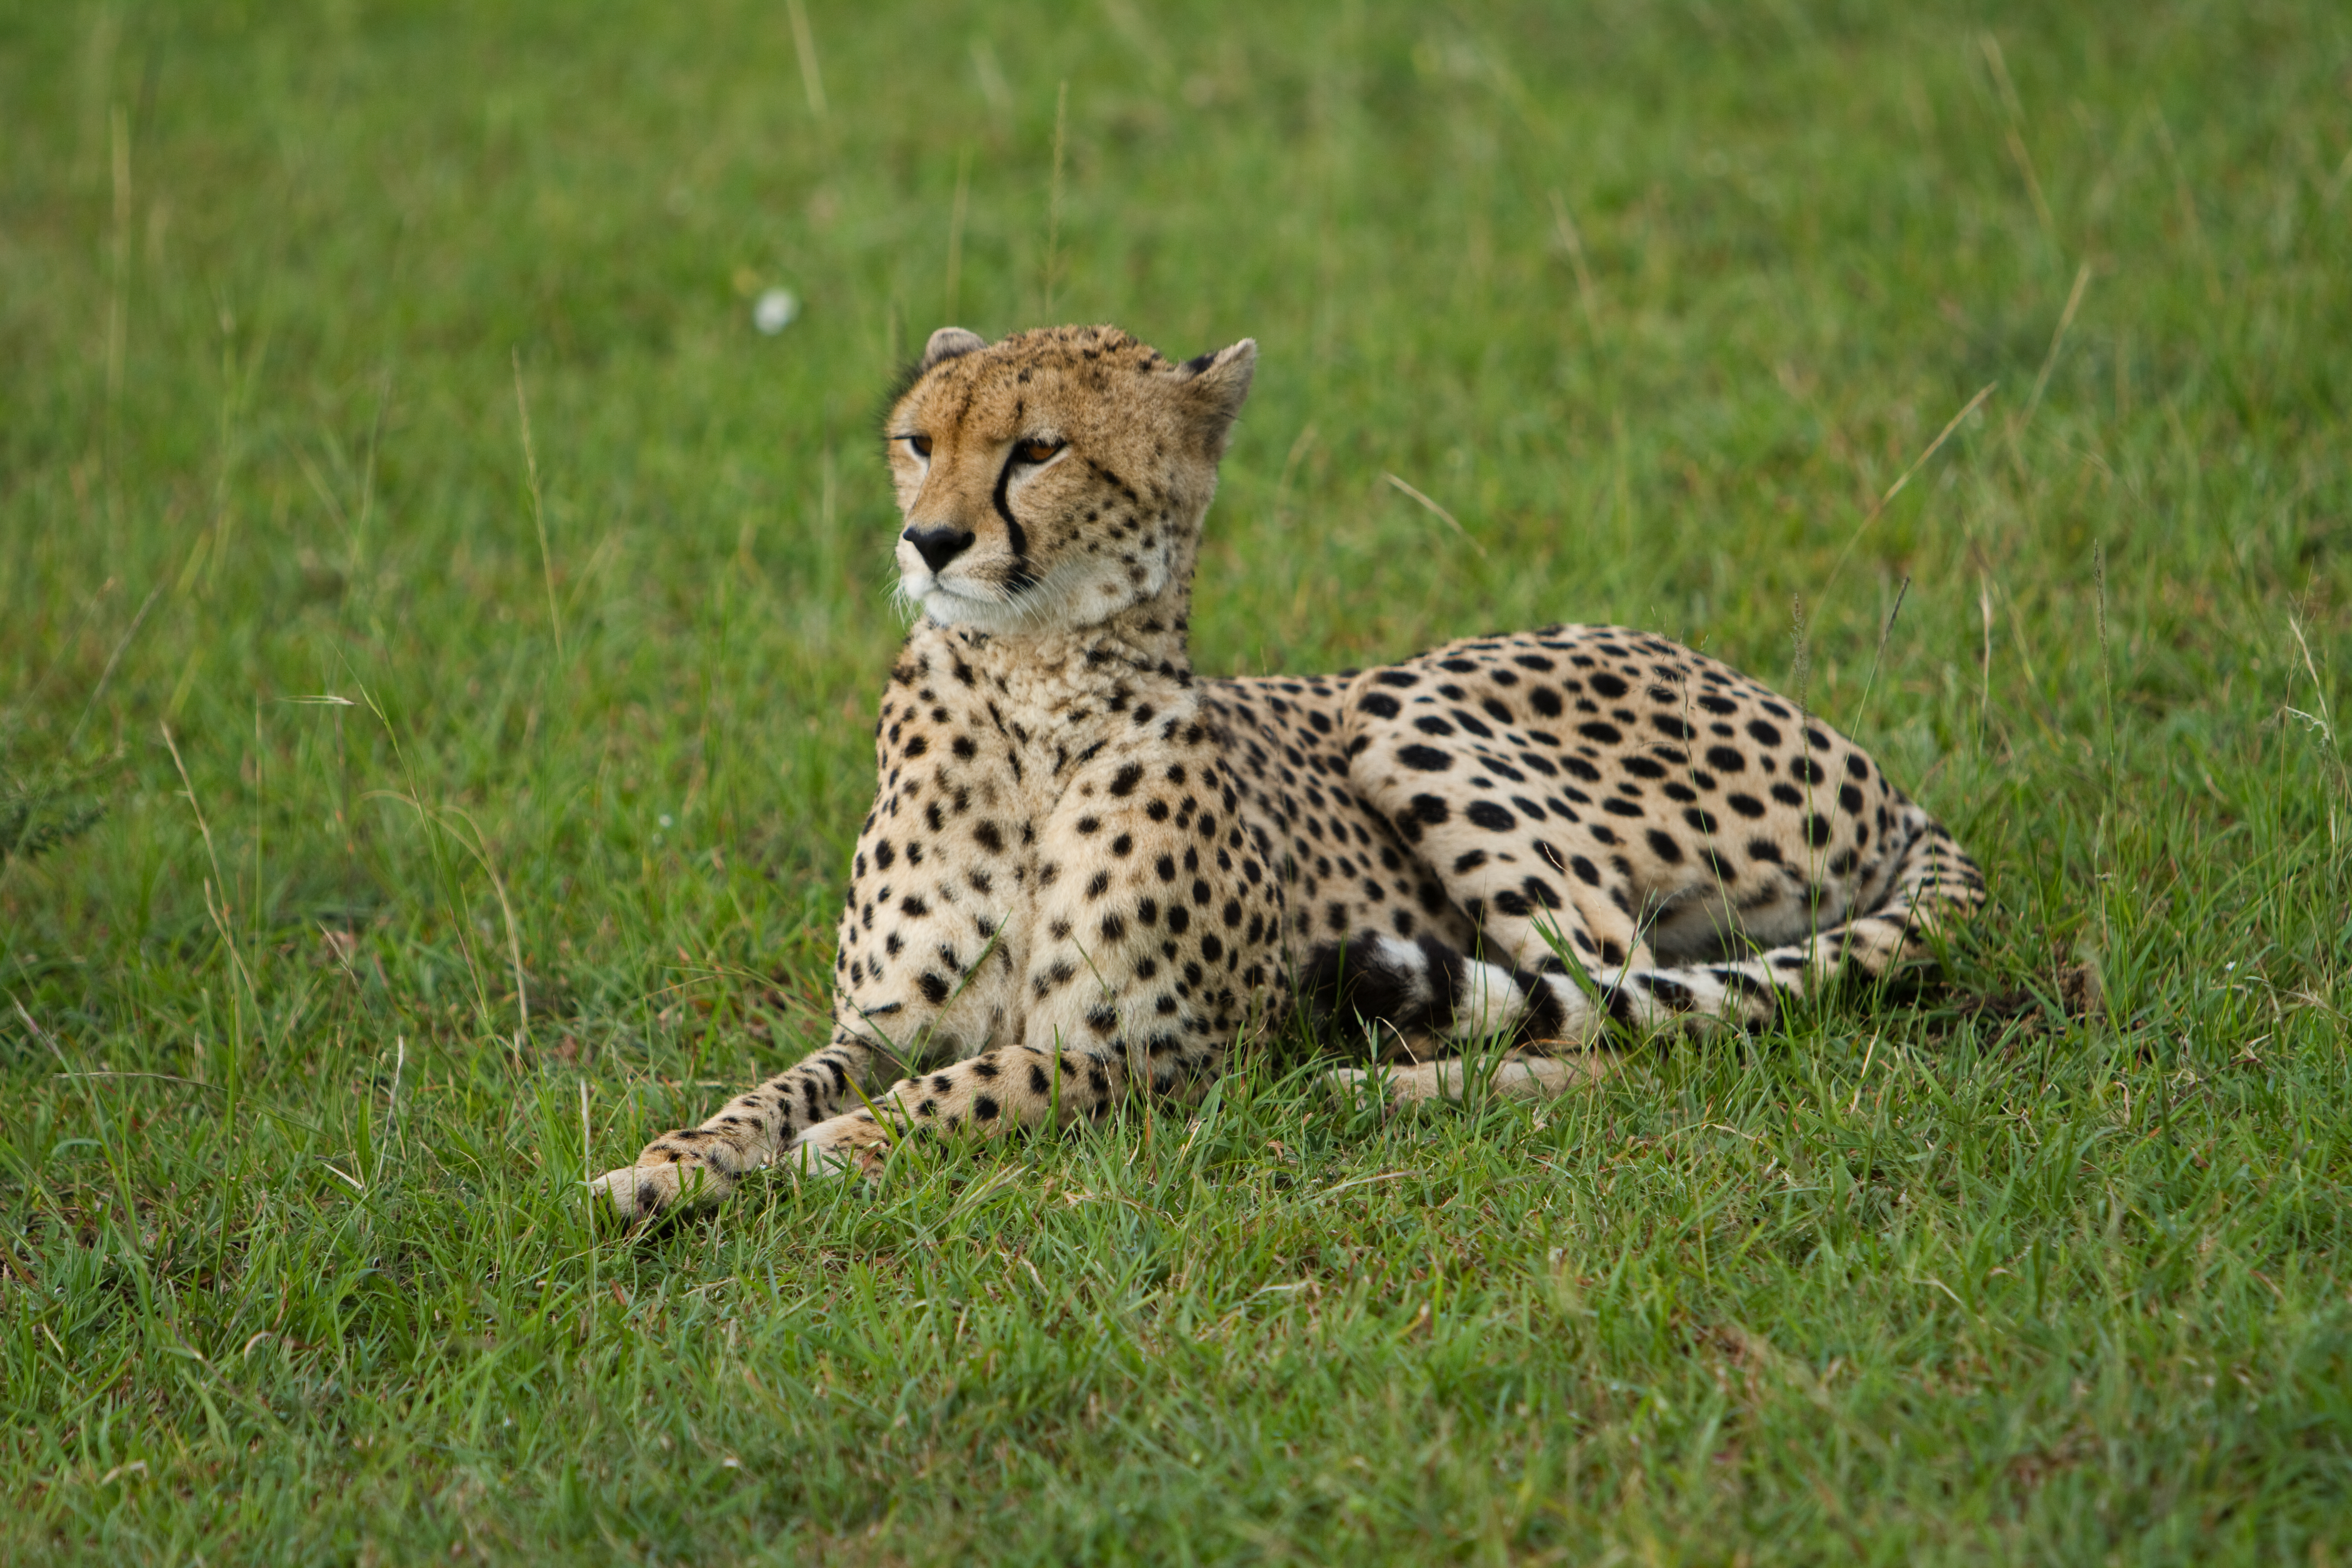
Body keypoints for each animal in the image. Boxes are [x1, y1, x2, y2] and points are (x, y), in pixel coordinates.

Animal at [590, 323, 1985, 1217]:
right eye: (917, 440)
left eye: (1038, 449)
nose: (927, 541)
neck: (1032, 688)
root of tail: (1875, 772)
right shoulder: (886, 1020)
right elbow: (774, 1090)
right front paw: (666, 1163)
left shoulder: (1165, 1049)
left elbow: (984, 1083)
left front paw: (842, 1146)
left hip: (1407, 704)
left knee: (1631, 1019)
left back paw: (1390, 1086)